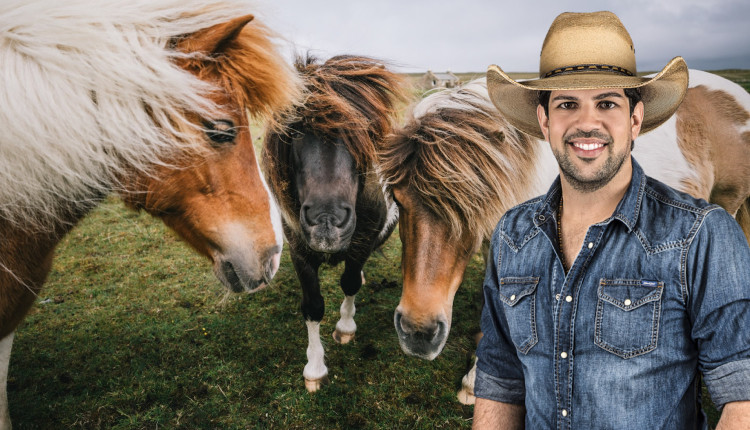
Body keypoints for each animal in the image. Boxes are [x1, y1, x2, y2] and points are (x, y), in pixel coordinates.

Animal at [262, 54, 408, 394]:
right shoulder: (300, 252)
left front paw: (345, 327)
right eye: (295, 132)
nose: (326, 222)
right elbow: (313, 306)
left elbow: (349, 283)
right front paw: (315, 367)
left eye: (362, 133)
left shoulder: (362, 244)